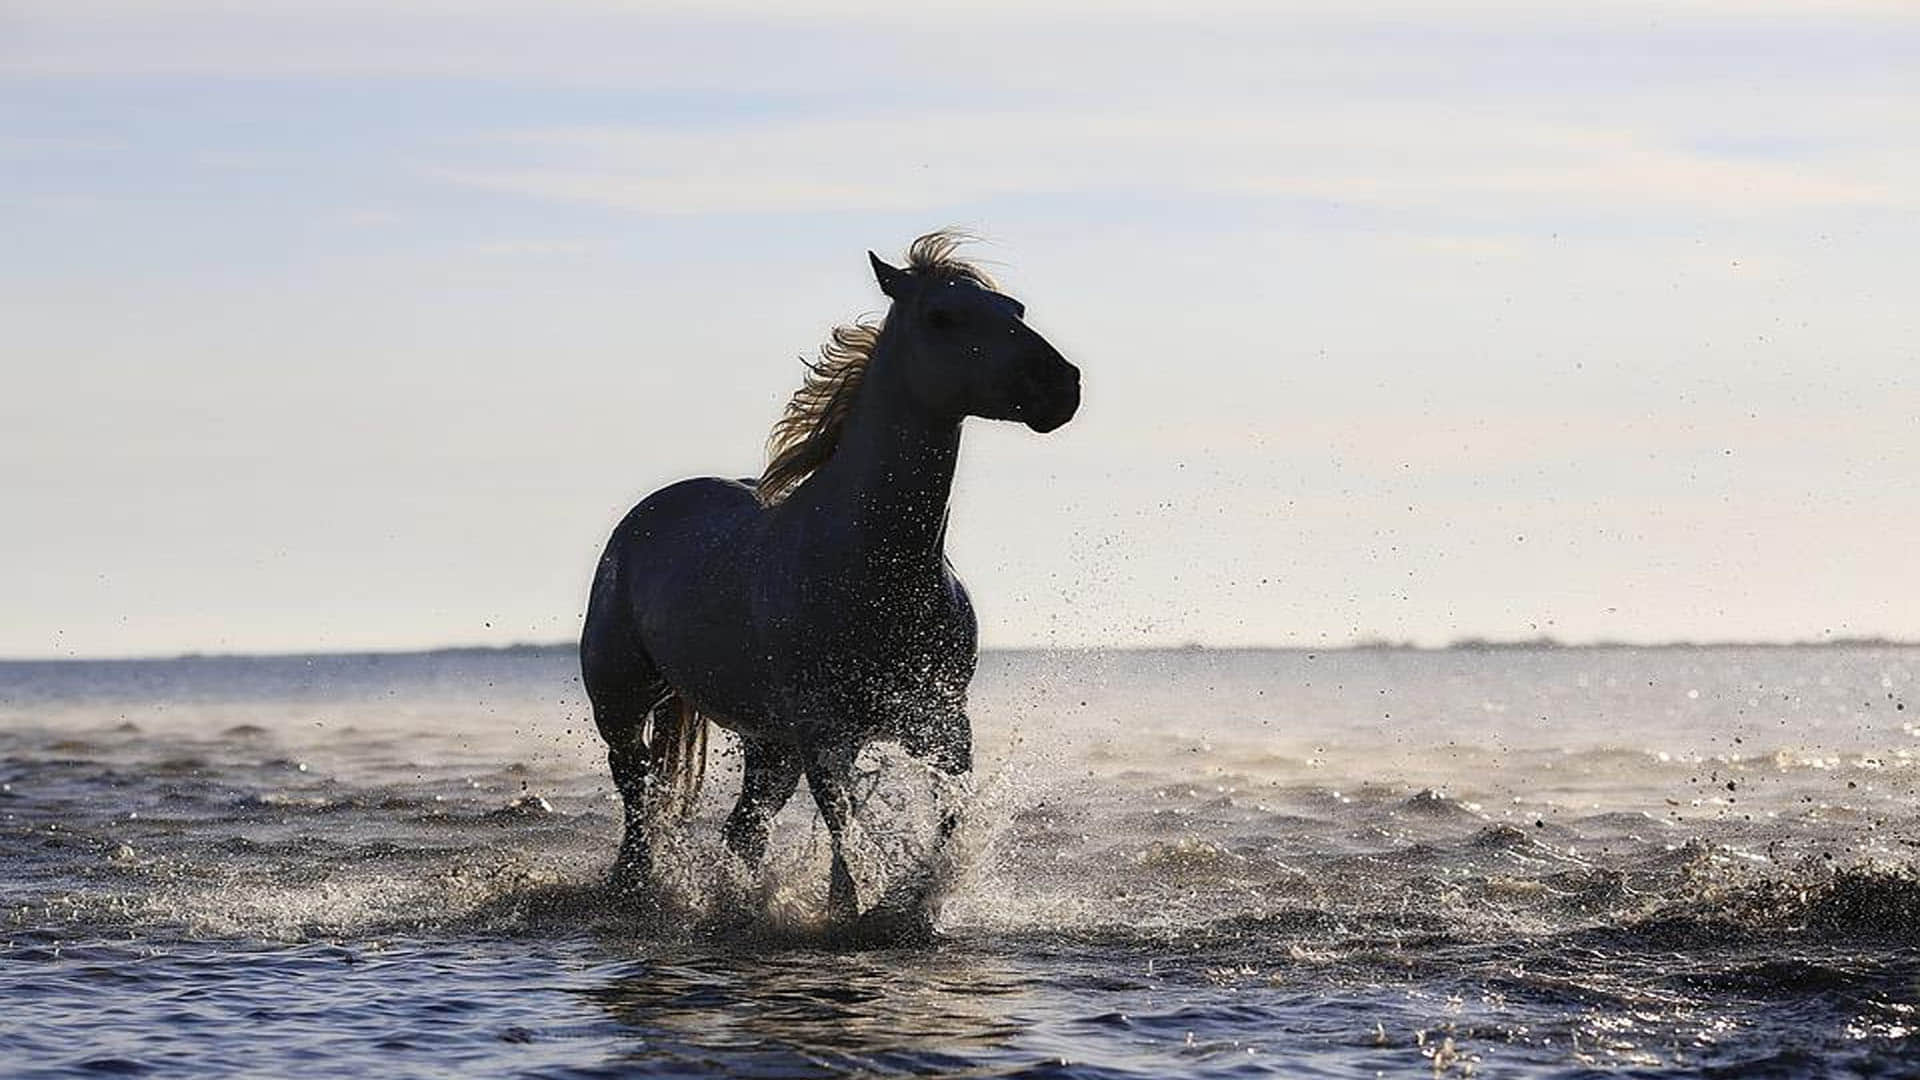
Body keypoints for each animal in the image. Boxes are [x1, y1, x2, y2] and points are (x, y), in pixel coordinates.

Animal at [580, 231, 1081, 928]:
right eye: (943, 317)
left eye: (1016, 309)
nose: (1060, 386)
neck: (877, 568)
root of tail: (644, 516)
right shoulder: (824, 731)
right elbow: (847, 828)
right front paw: (859, 911)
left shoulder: (941, 724)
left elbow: (942, 822)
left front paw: (906, 904)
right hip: (622, 702)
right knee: (640, 802)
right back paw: (634, 890)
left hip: (769, 743)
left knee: (744, 828)